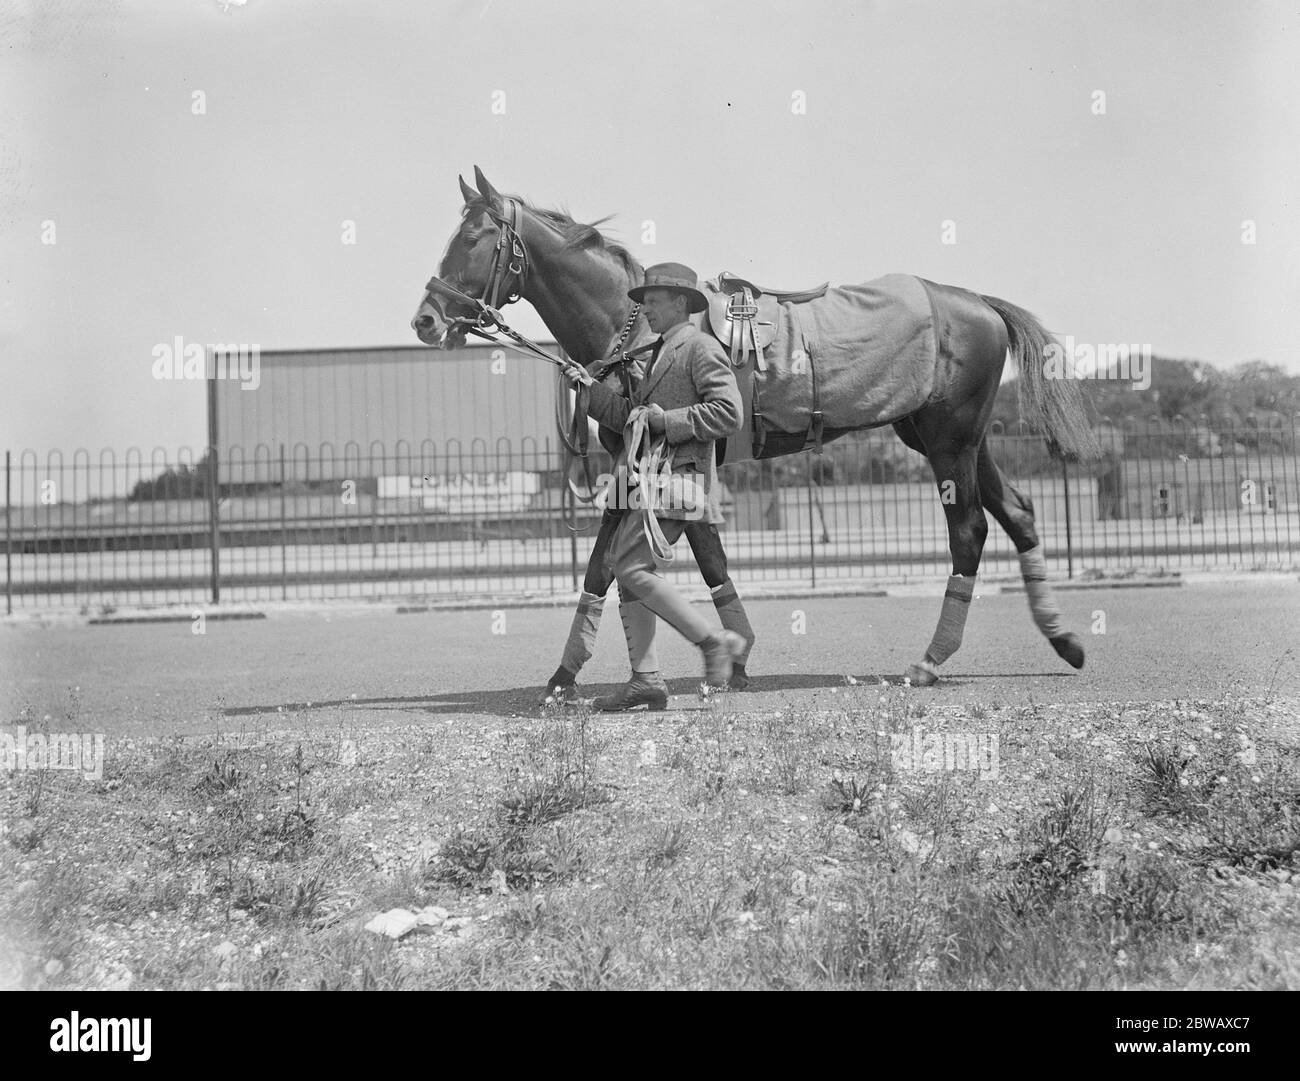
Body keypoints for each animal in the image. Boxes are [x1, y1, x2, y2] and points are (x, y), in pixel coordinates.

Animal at [413, 166, 1097, 686]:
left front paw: (729, 657)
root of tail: (977, 302)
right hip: (950, 439)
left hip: (950, 442)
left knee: (970, 531)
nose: (426, 317)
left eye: (476, 238)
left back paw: (931, 660)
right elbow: (608, 568)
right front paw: (567, 675)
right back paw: (1062, 638)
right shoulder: (632, 468)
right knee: (1019, 513)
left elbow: (695, 561)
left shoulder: (683, 457)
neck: (642, 332)